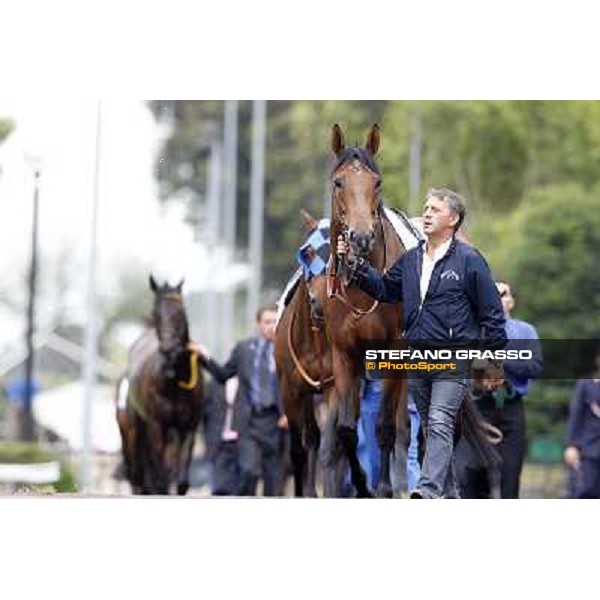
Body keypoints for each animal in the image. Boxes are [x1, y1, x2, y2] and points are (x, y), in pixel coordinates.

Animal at [117, 276, 204, 492]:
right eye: (157, 313)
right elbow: (160, 478)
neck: (174, 383)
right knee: (136, 474)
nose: (169, 350)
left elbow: (181, 481)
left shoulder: (188, 427)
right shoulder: (157, 426)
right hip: (132, 430)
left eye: (180, 312)